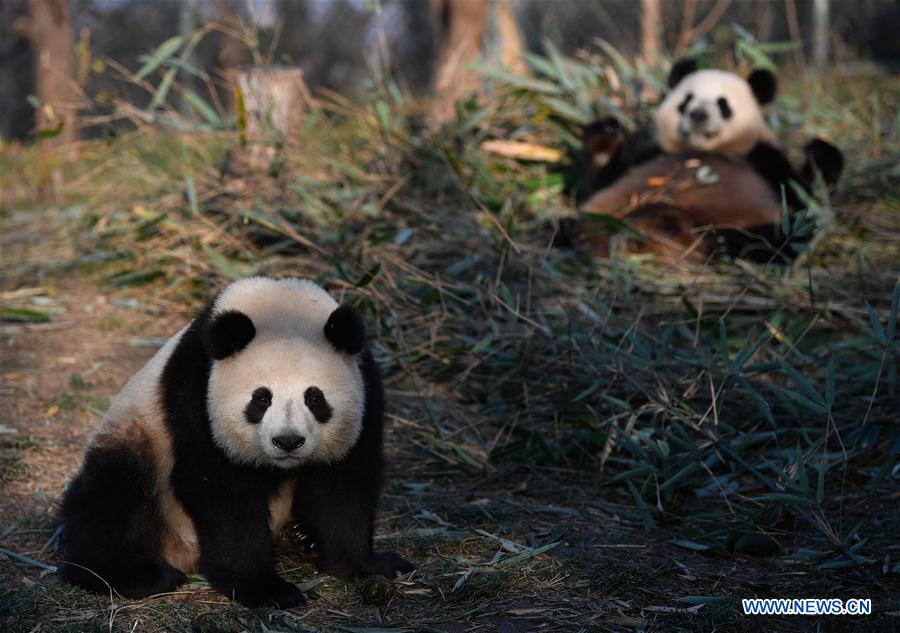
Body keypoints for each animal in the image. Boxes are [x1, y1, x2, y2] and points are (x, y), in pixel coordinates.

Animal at [58, 276, 416, 608]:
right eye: (261, 398)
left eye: (315, 398)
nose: (288, 441)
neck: (279, 306)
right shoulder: (196, 392)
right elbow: (221, 488)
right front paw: (266, 589)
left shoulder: (365, 388)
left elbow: (343, 484)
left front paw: (366, 566)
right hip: (139, 437)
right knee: (111, 493)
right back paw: (134, 574)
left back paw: (302, 538)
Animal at [576, 59, 844, 262]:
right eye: (686, 100)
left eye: (723, 104)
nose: (698, 115)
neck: (703, 151)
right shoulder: (653, 155)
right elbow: (604, 180)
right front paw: (604, 135)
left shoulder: (764, 161)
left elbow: (803, 204)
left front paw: (819, 150)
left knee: (772, 240)